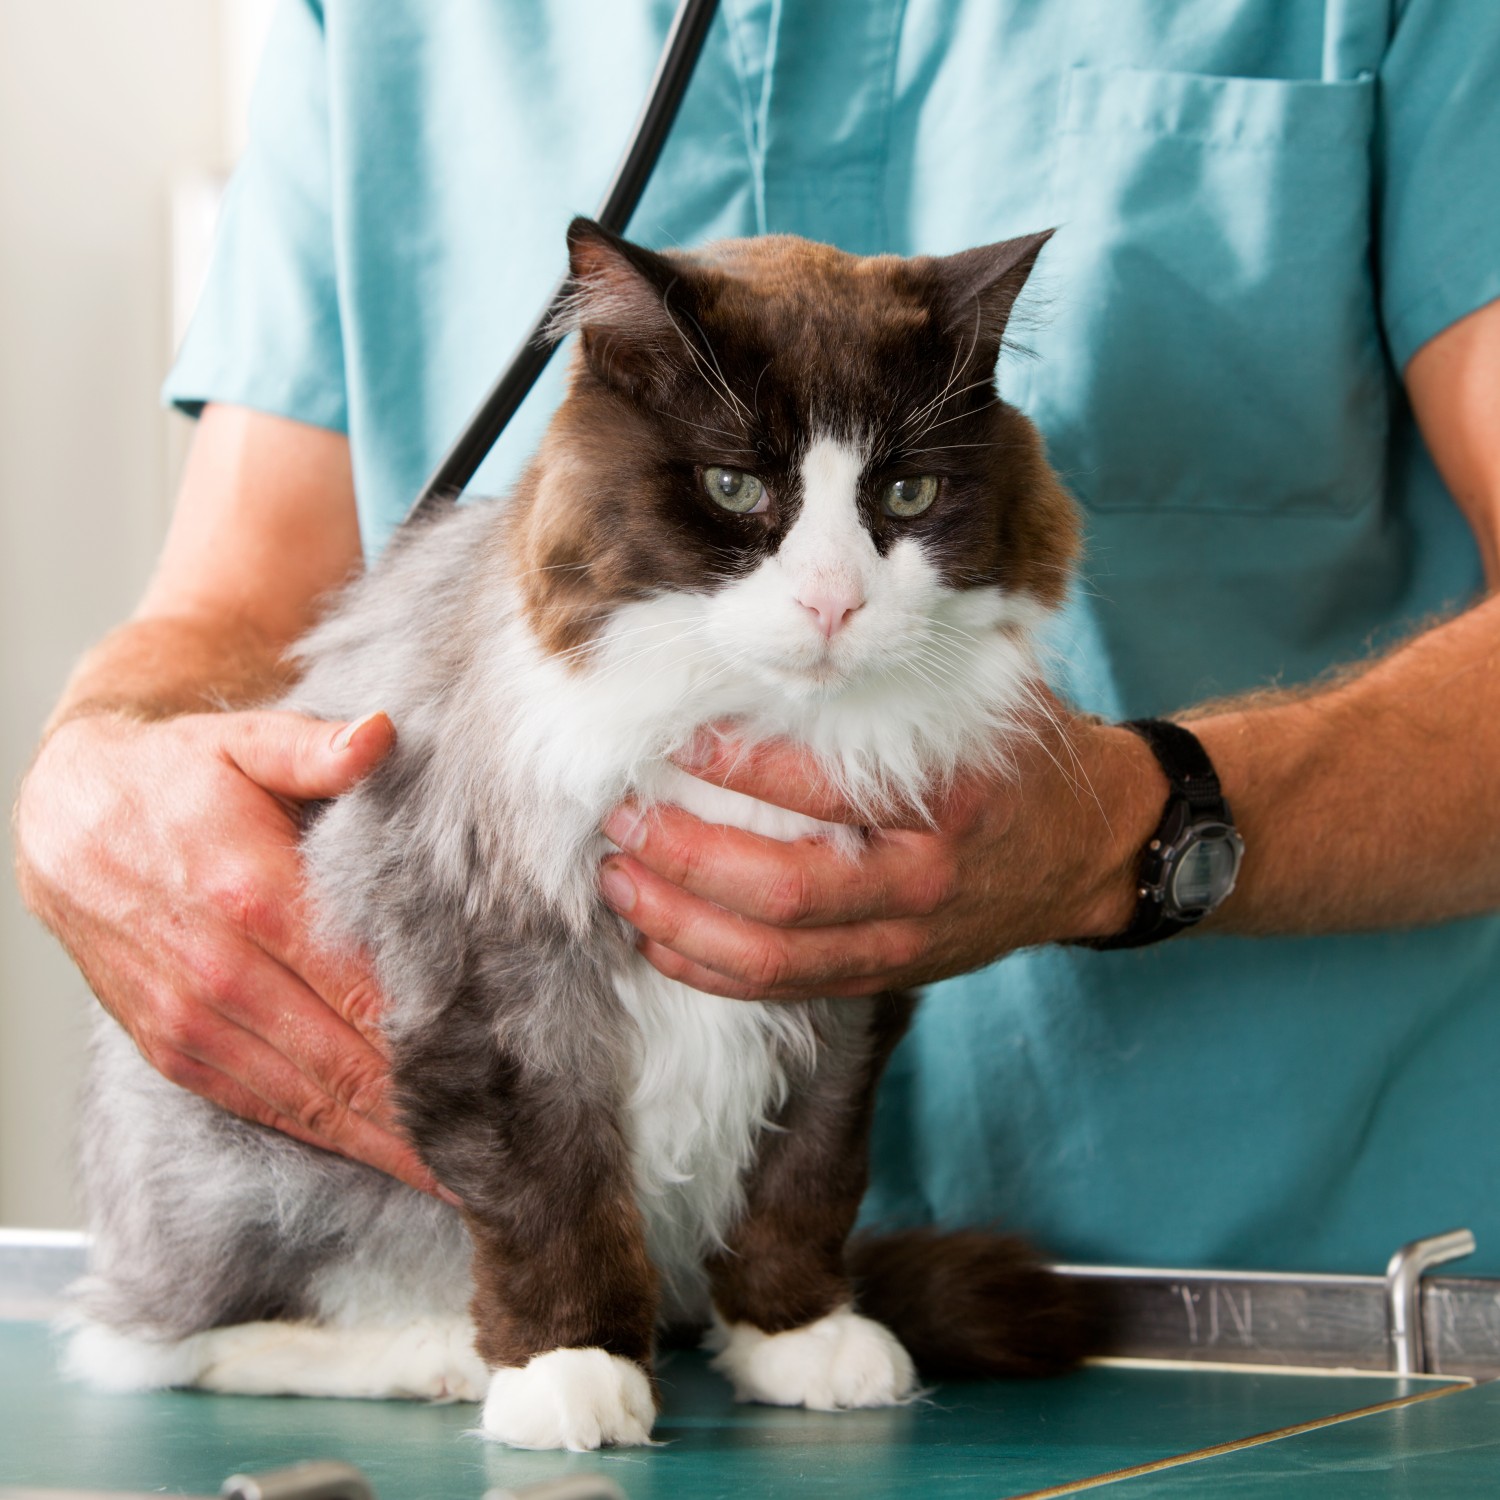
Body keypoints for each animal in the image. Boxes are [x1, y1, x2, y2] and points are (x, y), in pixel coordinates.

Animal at [67, 217, 1092, 1446]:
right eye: (733, 486)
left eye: (906, 494)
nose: (833, 603)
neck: (750, 725)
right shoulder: (504, 987)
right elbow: (554, 1198)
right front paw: (572, 1371)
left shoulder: (844, 988)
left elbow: (803, 1180)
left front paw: (796, 1334)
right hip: (253, 1170)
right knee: (159, 1343)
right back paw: (433, 1355)